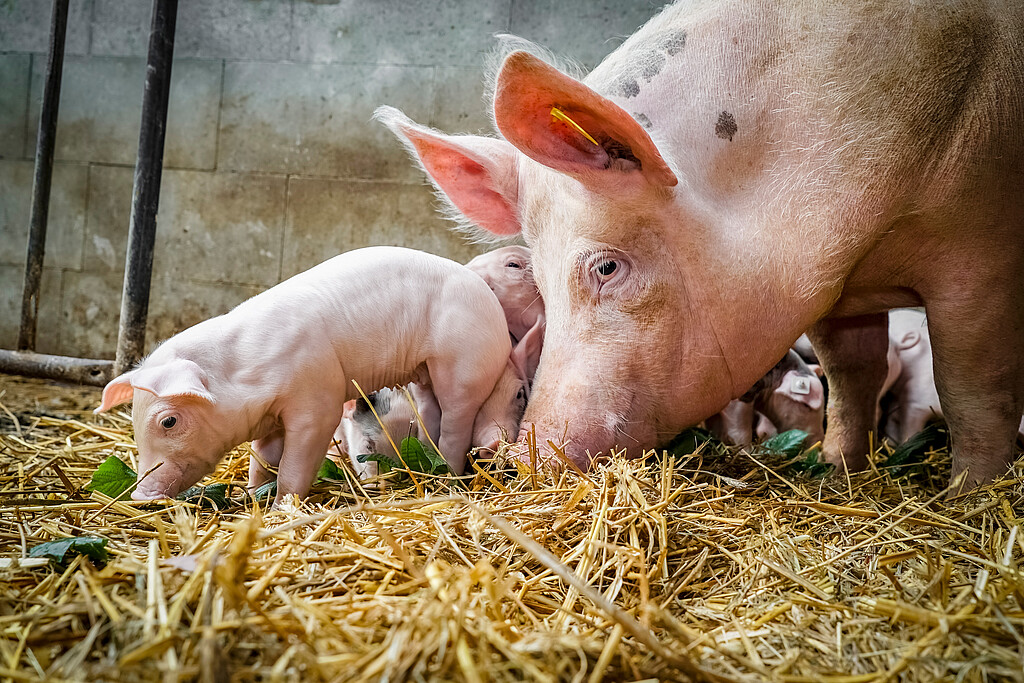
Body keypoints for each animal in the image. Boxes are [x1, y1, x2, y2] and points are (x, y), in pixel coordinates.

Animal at [378, 0, 1024, 491]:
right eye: (534, 278)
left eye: (606, 267)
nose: (523, 456)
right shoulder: (836, 294)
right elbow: (851, 376)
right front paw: (837, 472)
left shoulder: (982, 255)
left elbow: (969, 389)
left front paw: (969, 496)